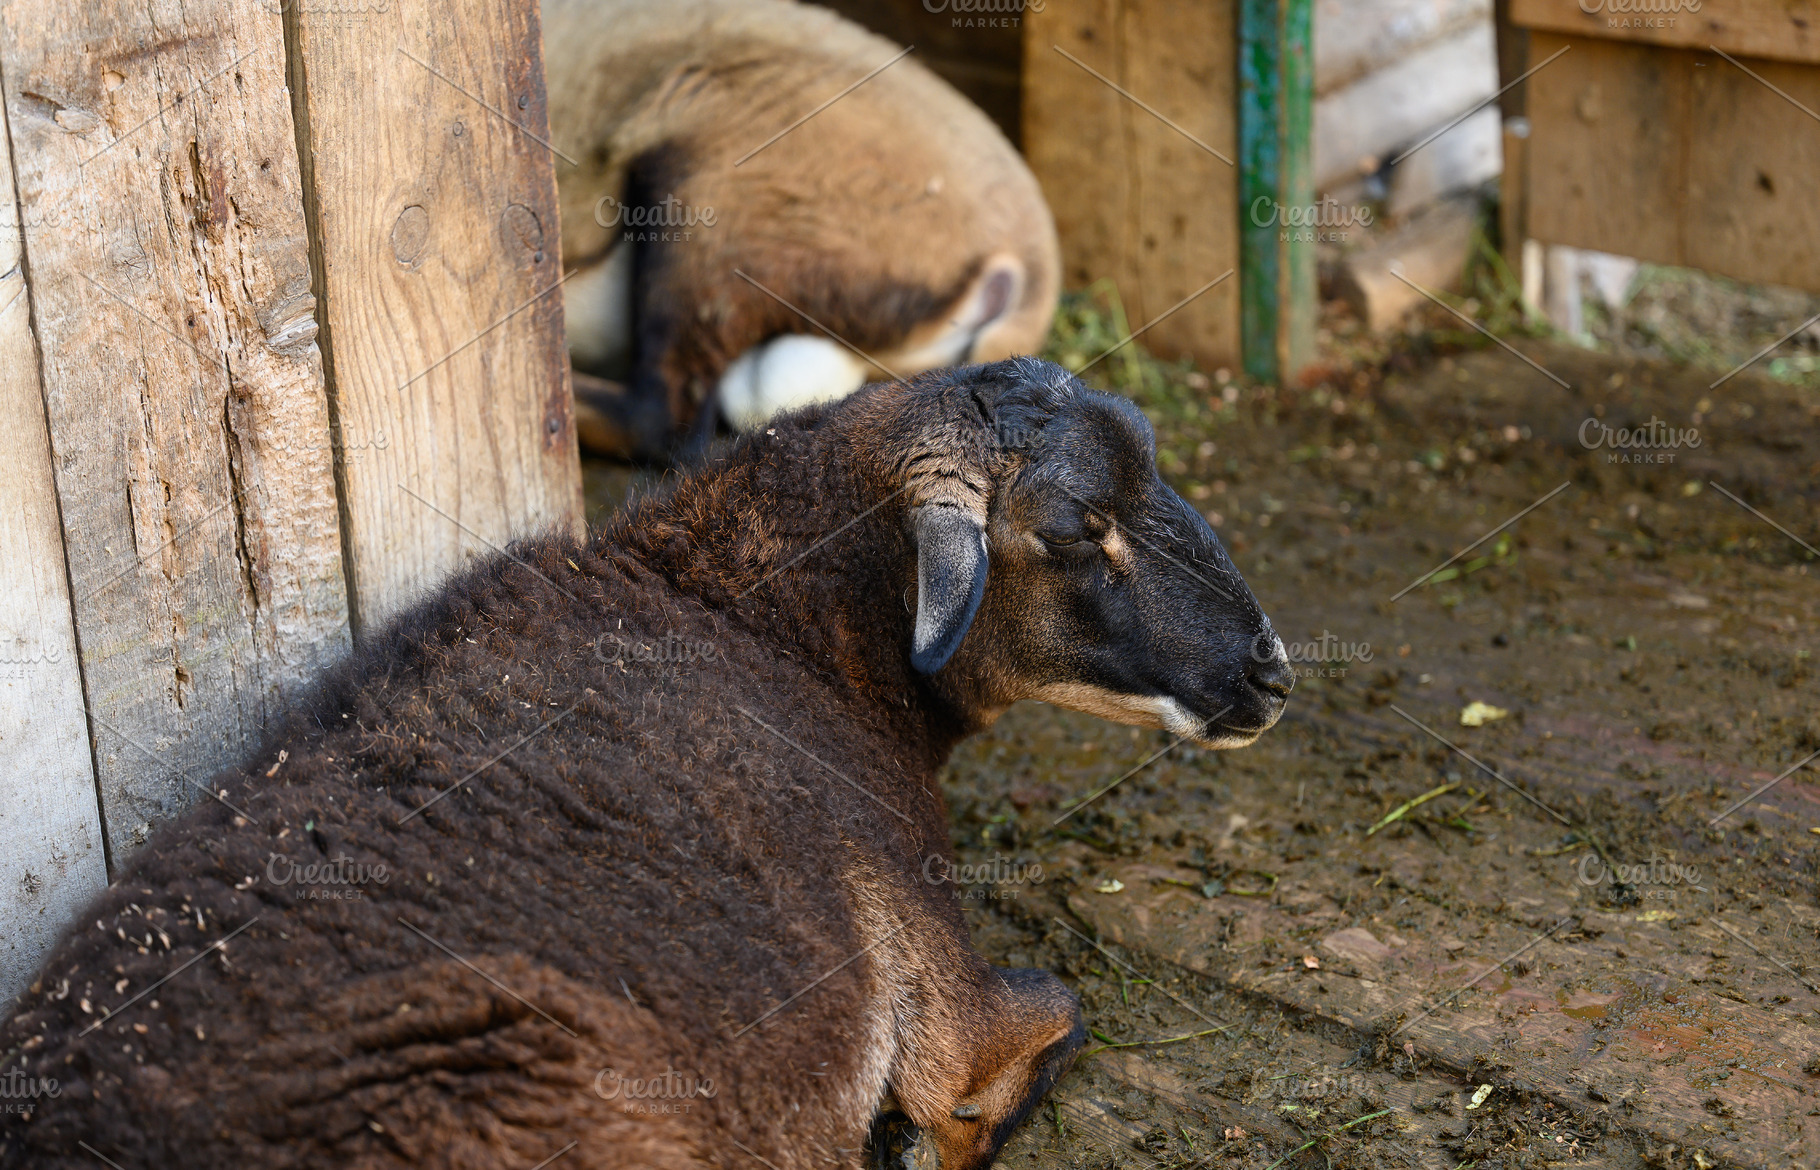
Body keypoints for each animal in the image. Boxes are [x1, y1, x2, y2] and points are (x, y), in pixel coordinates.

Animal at [0, 358, 1292, 1170]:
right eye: (1076, 529)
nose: (1273, 669)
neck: (755, 620)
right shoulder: (939, 988)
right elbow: (1050, 1023)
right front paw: (929, 1140)